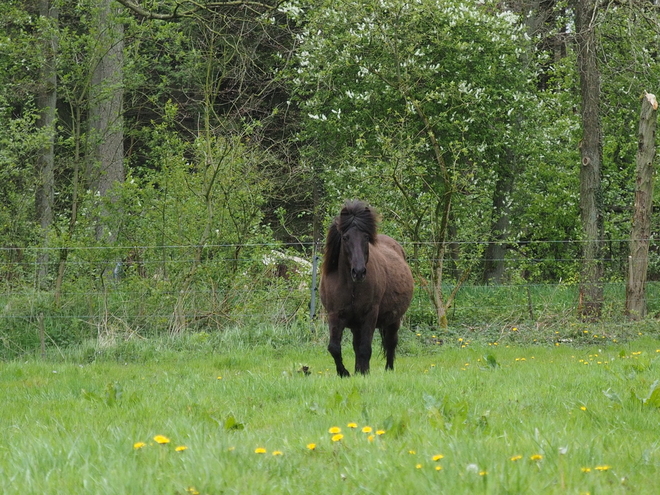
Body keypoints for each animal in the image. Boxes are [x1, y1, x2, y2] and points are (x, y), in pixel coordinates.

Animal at [318, 201, 412, 376]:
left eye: (366, 237)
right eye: (345, 237)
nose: (359, 272)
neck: (351, 286)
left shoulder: (370, 315)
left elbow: (365, 349)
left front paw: (363, 374)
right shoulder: (334, 315)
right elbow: (334, 348)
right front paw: (345, 373)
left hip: (394, 320)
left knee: (391, 343)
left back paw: (388, 370)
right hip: (356, 325)